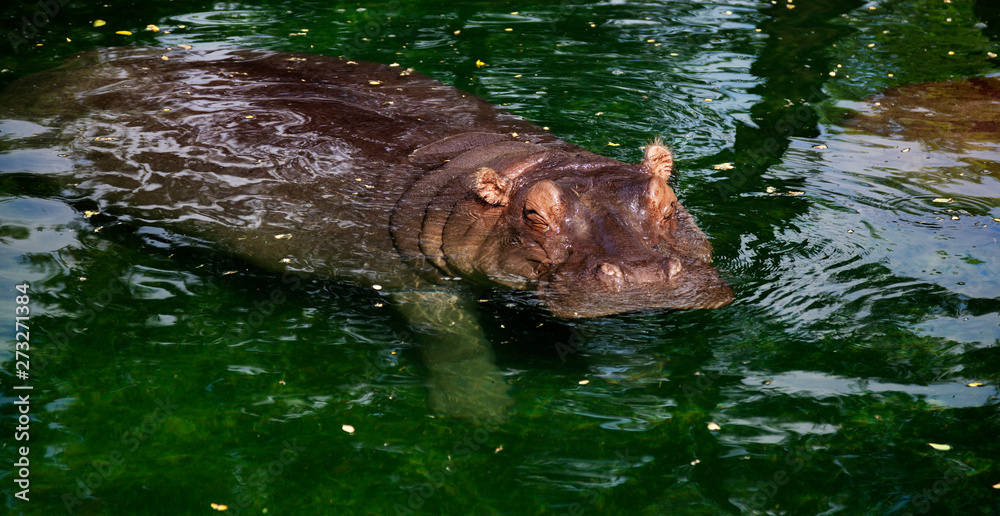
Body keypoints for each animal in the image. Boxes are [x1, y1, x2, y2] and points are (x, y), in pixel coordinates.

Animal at [0, 47, 732, 420]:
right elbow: (456, 344)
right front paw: (480, 413)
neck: (509, 168)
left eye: (669, 200)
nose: (643, 276)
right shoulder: (413, 282)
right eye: (532, 217)